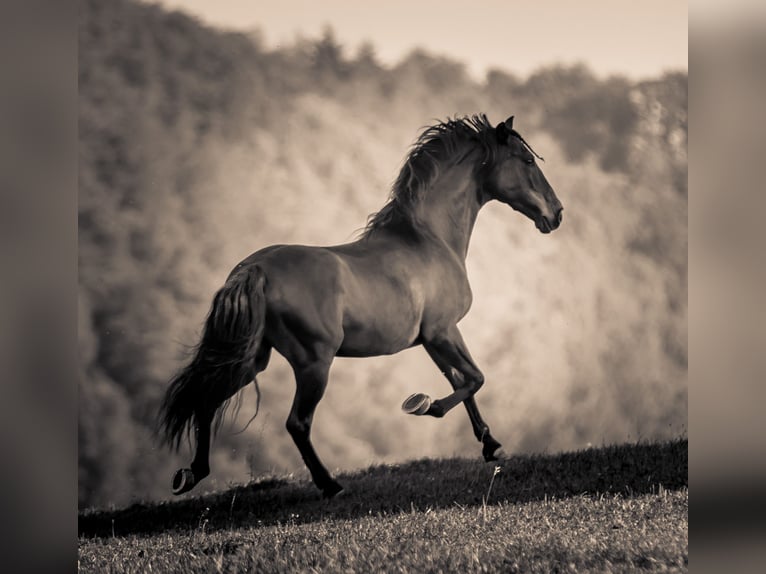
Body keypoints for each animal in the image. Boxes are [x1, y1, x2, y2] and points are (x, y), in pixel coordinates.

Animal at [158, 113, 564, 500]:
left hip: (252, 359)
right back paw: (330, 485)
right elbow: (475, 378)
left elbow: (463, 380)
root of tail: (253, 270)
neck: (430, 239)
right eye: (527, 160)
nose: (557, 214)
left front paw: (490, 444)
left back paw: (191, 474)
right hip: (313, 363)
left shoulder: (433, 339)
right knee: (297, 423)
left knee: (207, 400)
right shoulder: (443, 331)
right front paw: (426, 405)